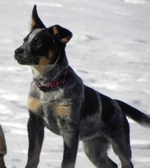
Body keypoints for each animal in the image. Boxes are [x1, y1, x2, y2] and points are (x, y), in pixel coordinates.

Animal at [14, 4, 150, 167]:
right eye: (24, 40)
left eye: (37, 43)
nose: (16, 51)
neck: (49, 85)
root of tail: (116, 103)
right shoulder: (34, 122)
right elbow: (32, 156)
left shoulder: (70, 129)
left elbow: (67, 162)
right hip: (93, 148)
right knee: (111, 164)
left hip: (120, 143)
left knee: (126, 162)